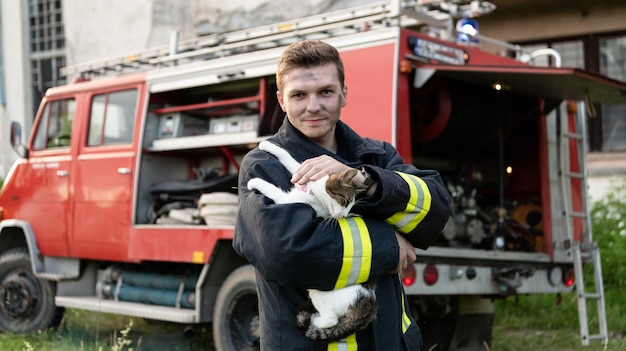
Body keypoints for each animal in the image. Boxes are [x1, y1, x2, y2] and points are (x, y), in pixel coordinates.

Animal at [246, 141, 378, 344]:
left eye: (350, 206)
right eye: (345, 200)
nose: (344, 215)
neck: (313, 192)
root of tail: (368, 299)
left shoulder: (287, 199)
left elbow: (274, 190)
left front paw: (255, 182)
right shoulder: (305, 174)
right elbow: (291, 160)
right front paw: (268, 145)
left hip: (321, 292)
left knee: (331, 320)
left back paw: (314, 320)